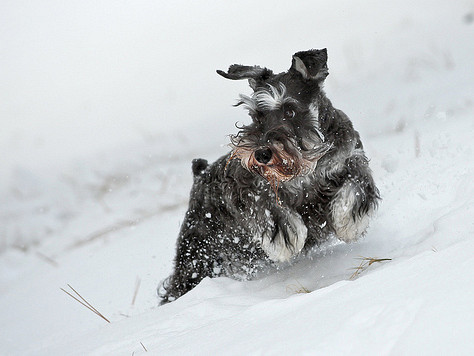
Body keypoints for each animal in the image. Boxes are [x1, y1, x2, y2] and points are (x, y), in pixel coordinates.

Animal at [159, 48, 382, 304]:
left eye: (290, 110)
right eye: (257, 115)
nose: (262, 153)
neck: (308, 164)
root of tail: (200, 174)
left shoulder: (352, 159)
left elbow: (355, 189)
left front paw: (349, 225)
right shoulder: (249, 190)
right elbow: (272, 212)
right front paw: (286, 241)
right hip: (197, 255)